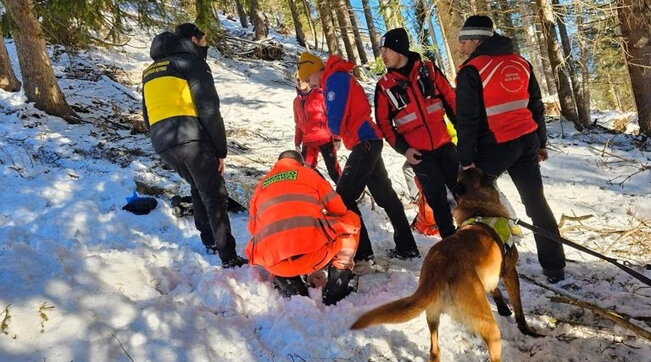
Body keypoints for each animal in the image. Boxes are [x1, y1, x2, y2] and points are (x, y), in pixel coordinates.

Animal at [352, 169, 540, 362]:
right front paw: (526, 329)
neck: (478, 206)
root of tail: (438, 267)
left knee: (434, 351)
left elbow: (495, 289)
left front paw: (502, 307)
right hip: (489, 326)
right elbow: (518, 308)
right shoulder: (510, 272)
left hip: (432, 315)